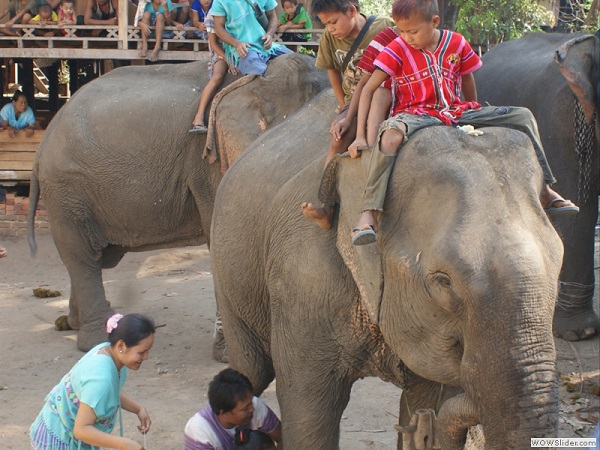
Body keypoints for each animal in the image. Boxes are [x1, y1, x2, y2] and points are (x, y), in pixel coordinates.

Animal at [27, 52, 328, 352]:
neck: (260, 79)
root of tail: (45, 140)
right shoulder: (208, 161)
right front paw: (227, 355)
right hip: (67, 189)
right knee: (83, 257)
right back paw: (96, 338)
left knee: (95, 259)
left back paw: (74, 322)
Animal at [210, 89, 564, 450]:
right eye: (443, 281)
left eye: (559, 266)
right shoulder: (300, 279)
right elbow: (309, 413)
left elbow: (430, 396)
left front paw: (422, 424)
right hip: (226, 271)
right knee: (250, 372)